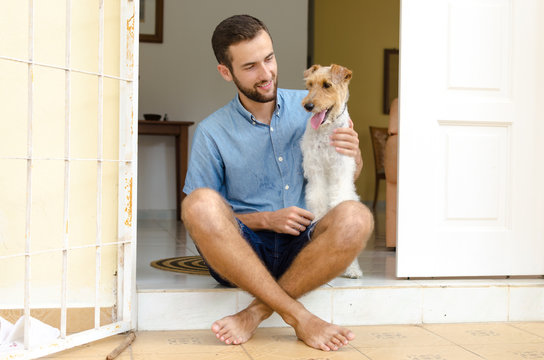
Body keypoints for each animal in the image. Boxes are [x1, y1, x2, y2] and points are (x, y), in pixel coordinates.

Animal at [300, 64, 364, 278]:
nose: (308, 105)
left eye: (327, 85)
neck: (326, 130)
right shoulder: (316, 170)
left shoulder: (340, 170)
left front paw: (352, 269)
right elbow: (318, 201)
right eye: (309, 85)